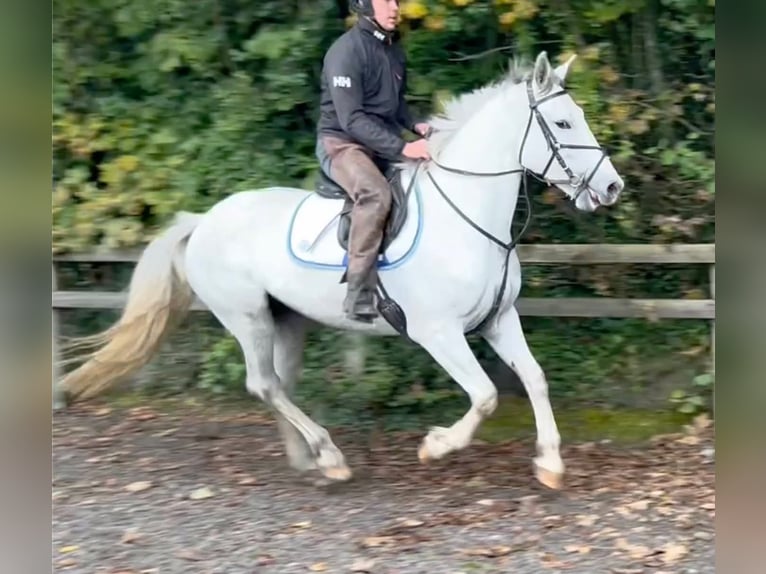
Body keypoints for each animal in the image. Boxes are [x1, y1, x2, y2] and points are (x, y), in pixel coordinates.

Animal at [58, 51, 625, 490]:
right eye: (564, 123)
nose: (612, 187)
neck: (468, 216)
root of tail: (203, 221)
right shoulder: (438, 332)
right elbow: (485, 396)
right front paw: (436, 446)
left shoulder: (498, 320)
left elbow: (535, 378)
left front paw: (550, 463)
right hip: (247, 318)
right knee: (263, 385)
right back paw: (328, 456)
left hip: (286, 320)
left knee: (278, 384)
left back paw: (310, 459)